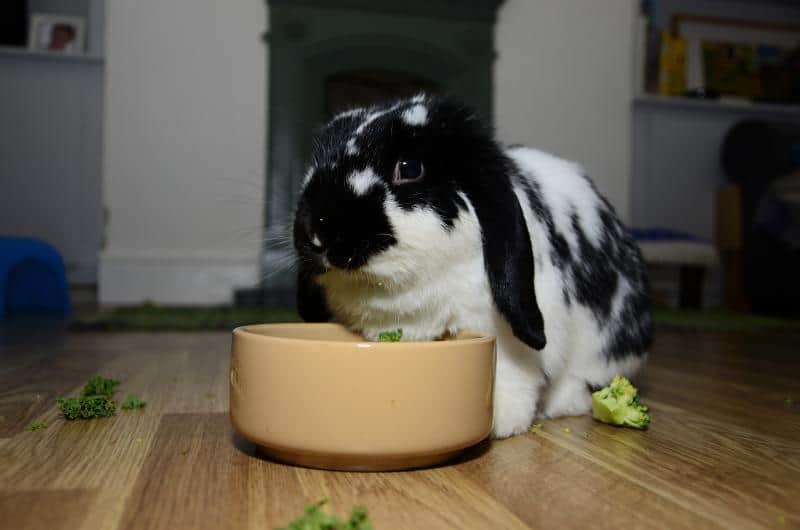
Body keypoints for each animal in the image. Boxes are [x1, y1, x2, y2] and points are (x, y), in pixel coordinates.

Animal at [294, 93, 648, 436]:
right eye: (315, 163)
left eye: (409, 167)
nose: (316, 230)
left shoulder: (503, 334)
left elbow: (510, 370)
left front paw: (502, 422)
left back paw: (561, 404)